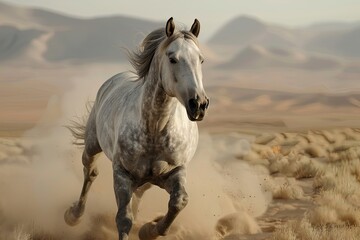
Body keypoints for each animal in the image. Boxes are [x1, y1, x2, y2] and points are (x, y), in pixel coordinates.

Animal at [64, 17, 210, 240]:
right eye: (172, 58)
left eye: (200, 60)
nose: (199, 104)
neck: (155, 129)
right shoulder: (122, 174)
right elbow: (124, 219)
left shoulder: (175, 171)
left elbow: (179, 202)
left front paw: (149, 230)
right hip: (92, 145)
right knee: (90, 172)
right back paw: (73, 215)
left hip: (146, 179)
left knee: (139, 193)